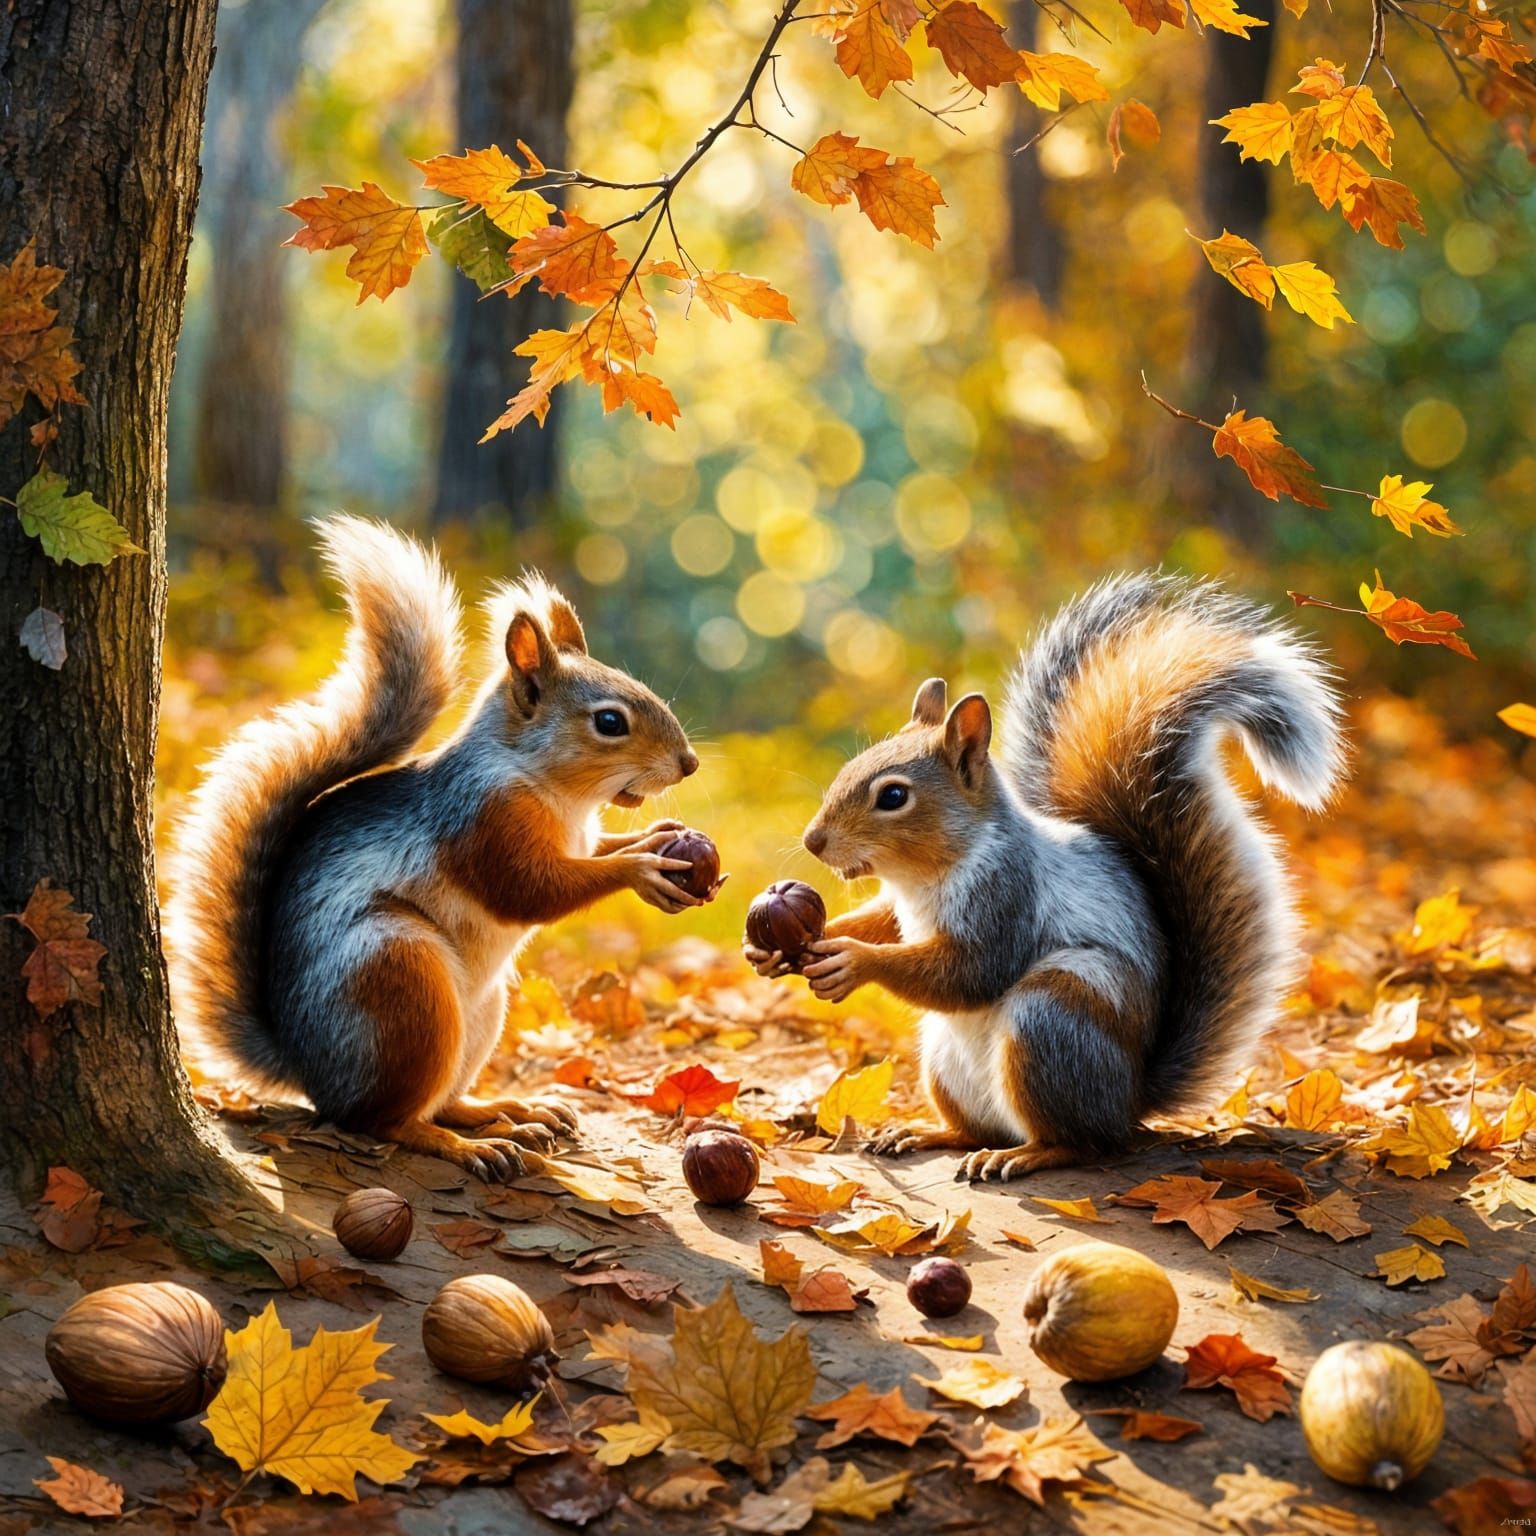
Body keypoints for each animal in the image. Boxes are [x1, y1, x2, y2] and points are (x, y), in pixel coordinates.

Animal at [165, 515, 703, 1181]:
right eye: (609, 722)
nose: (688, 763)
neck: (553, 790)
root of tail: (309, 1070)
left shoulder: (581, 833)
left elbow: (597, 848)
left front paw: (654, 838)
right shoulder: (482, 822)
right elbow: (533, 890)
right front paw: (643, 868)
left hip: (480, 1014)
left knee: (443, 1100)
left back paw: (508, 1111)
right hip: (398, 979)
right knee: (384, 1121)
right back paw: (468, 1146)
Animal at [747, 572, 1344, 1181]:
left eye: (893, 796)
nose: (813, 841)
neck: (930, 873)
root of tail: (1130, 1101)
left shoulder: (1007, 896)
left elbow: (970, 971)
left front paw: (852, 960)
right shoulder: (902, 907)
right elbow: (882, 925)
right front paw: (780, 950)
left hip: (1053, 1019)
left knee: (1081, 1144)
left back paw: (1024, 1155)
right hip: (945, 1059)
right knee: (977, 1130)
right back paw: (925, 1132)